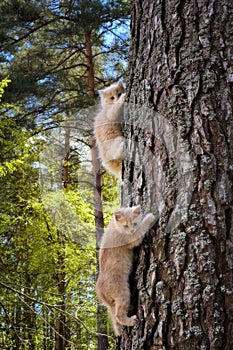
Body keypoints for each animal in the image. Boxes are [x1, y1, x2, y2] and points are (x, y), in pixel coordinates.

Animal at [95, 205, 156, 336]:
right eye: (126, 226)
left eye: (134, 223)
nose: (131, 230)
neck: (115, 226)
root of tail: (99, 288)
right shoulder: (132, 238)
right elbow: (142, 229)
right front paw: (149, 217)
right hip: (123, 293)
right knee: (118, 314)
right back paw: (131, 321)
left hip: (112, 304)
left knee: (114, 316)